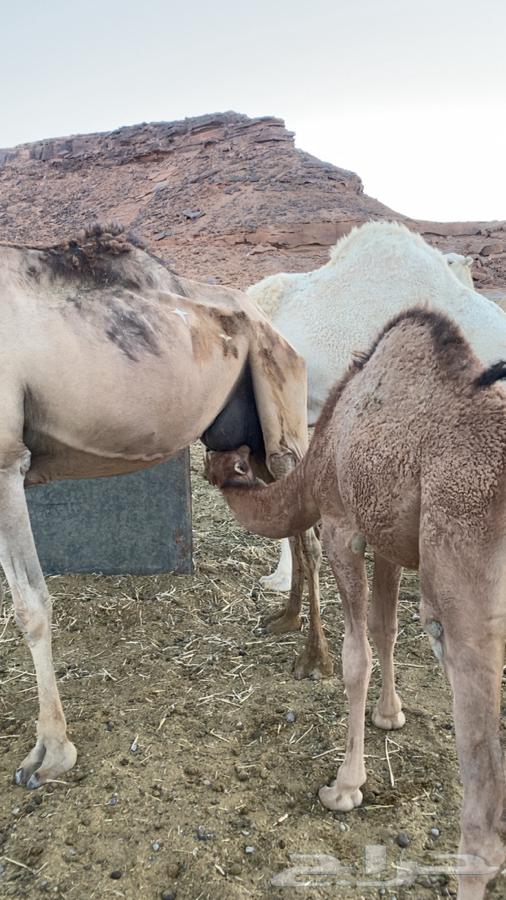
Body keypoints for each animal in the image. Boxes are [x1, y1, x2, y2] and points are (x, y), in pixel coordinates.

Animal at [0, 223, 329, 789]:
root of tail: (275, 328)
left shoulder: (5, 460)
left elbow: (31, 605)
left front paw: (51, 752)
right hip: (253, 427)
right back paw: (283, 621)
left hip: (279, 391)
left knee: (309, 526)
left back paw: (316, 660)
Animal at [206, 308, 506, 900]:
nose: (207, 456)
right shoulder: (390, 537)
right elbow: (385, 628)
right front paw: (391, 715)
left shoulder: (343, 523)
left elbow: (356, 657)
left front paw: (345, 787)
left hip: (465, 583)